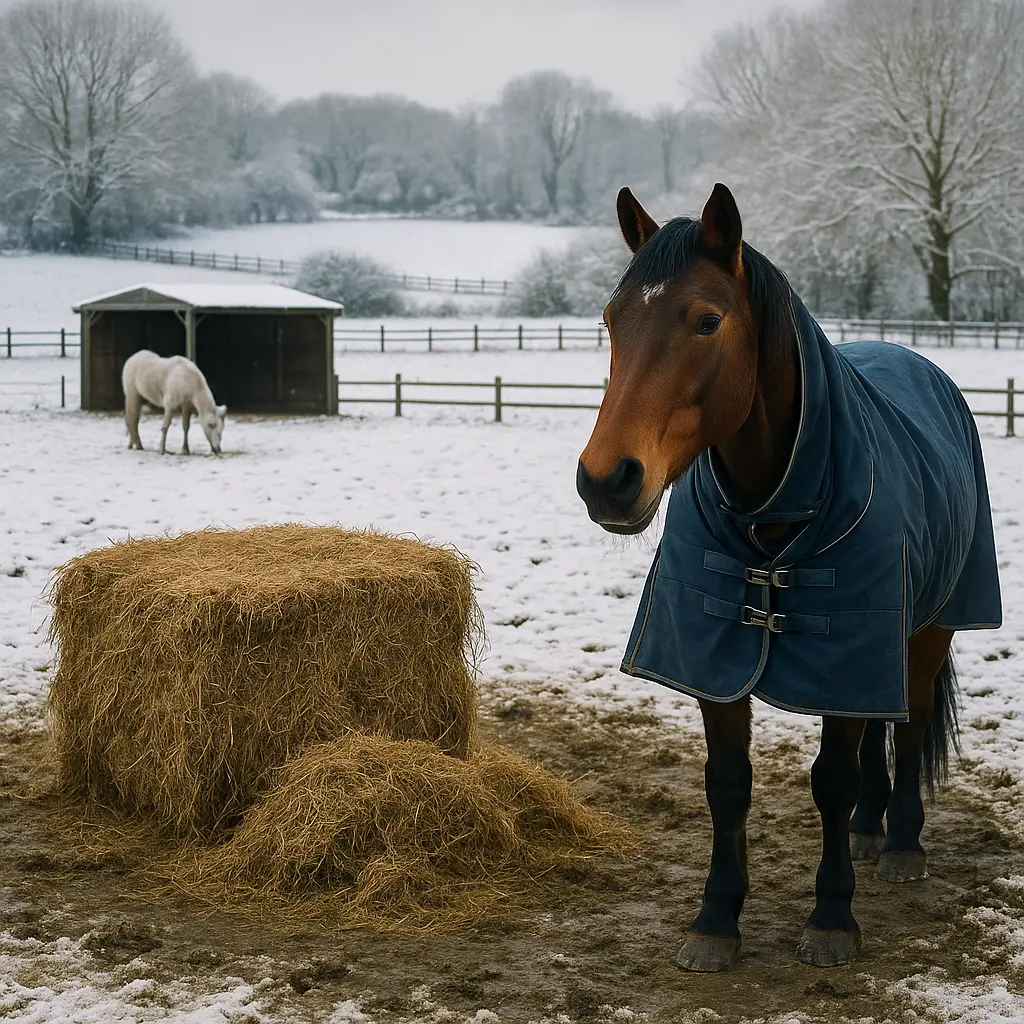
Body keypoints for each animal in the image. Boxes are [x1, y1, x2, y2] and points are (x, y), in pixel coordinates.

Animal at [576, 183, 1002, 972]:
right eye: (613, 320)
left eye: (707, 320)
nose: (606, 481)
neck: (775, 505)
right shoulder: (717, 661)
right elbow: (727, 786)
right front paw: (717, 918)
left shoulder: (848, 644)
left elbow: (831, 780)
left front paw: (832, 917)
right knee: (880, 729)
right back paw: (869, 828)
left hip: (929, 629)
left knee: (909, 721)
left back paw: (900, 841)